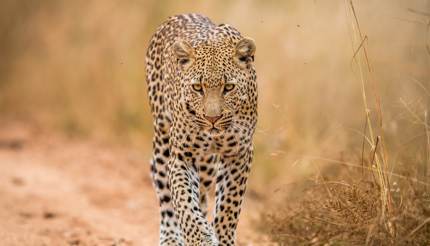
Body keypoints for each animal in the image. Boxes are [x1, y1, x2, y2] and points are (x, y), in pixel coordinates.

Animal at [145, 13, 258, 246]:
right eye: (197, 87)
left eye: (229, 87)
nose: (212, 118)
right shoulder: (181, 155)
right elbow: (184, 200)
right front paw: (199, 237)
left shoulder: (239, 153)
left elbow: (228, 206)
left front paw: (222, 238)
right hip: (162, 139)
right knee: (165, 195)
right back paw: (171, 238)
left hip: (206, 166)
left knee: (204, 195)